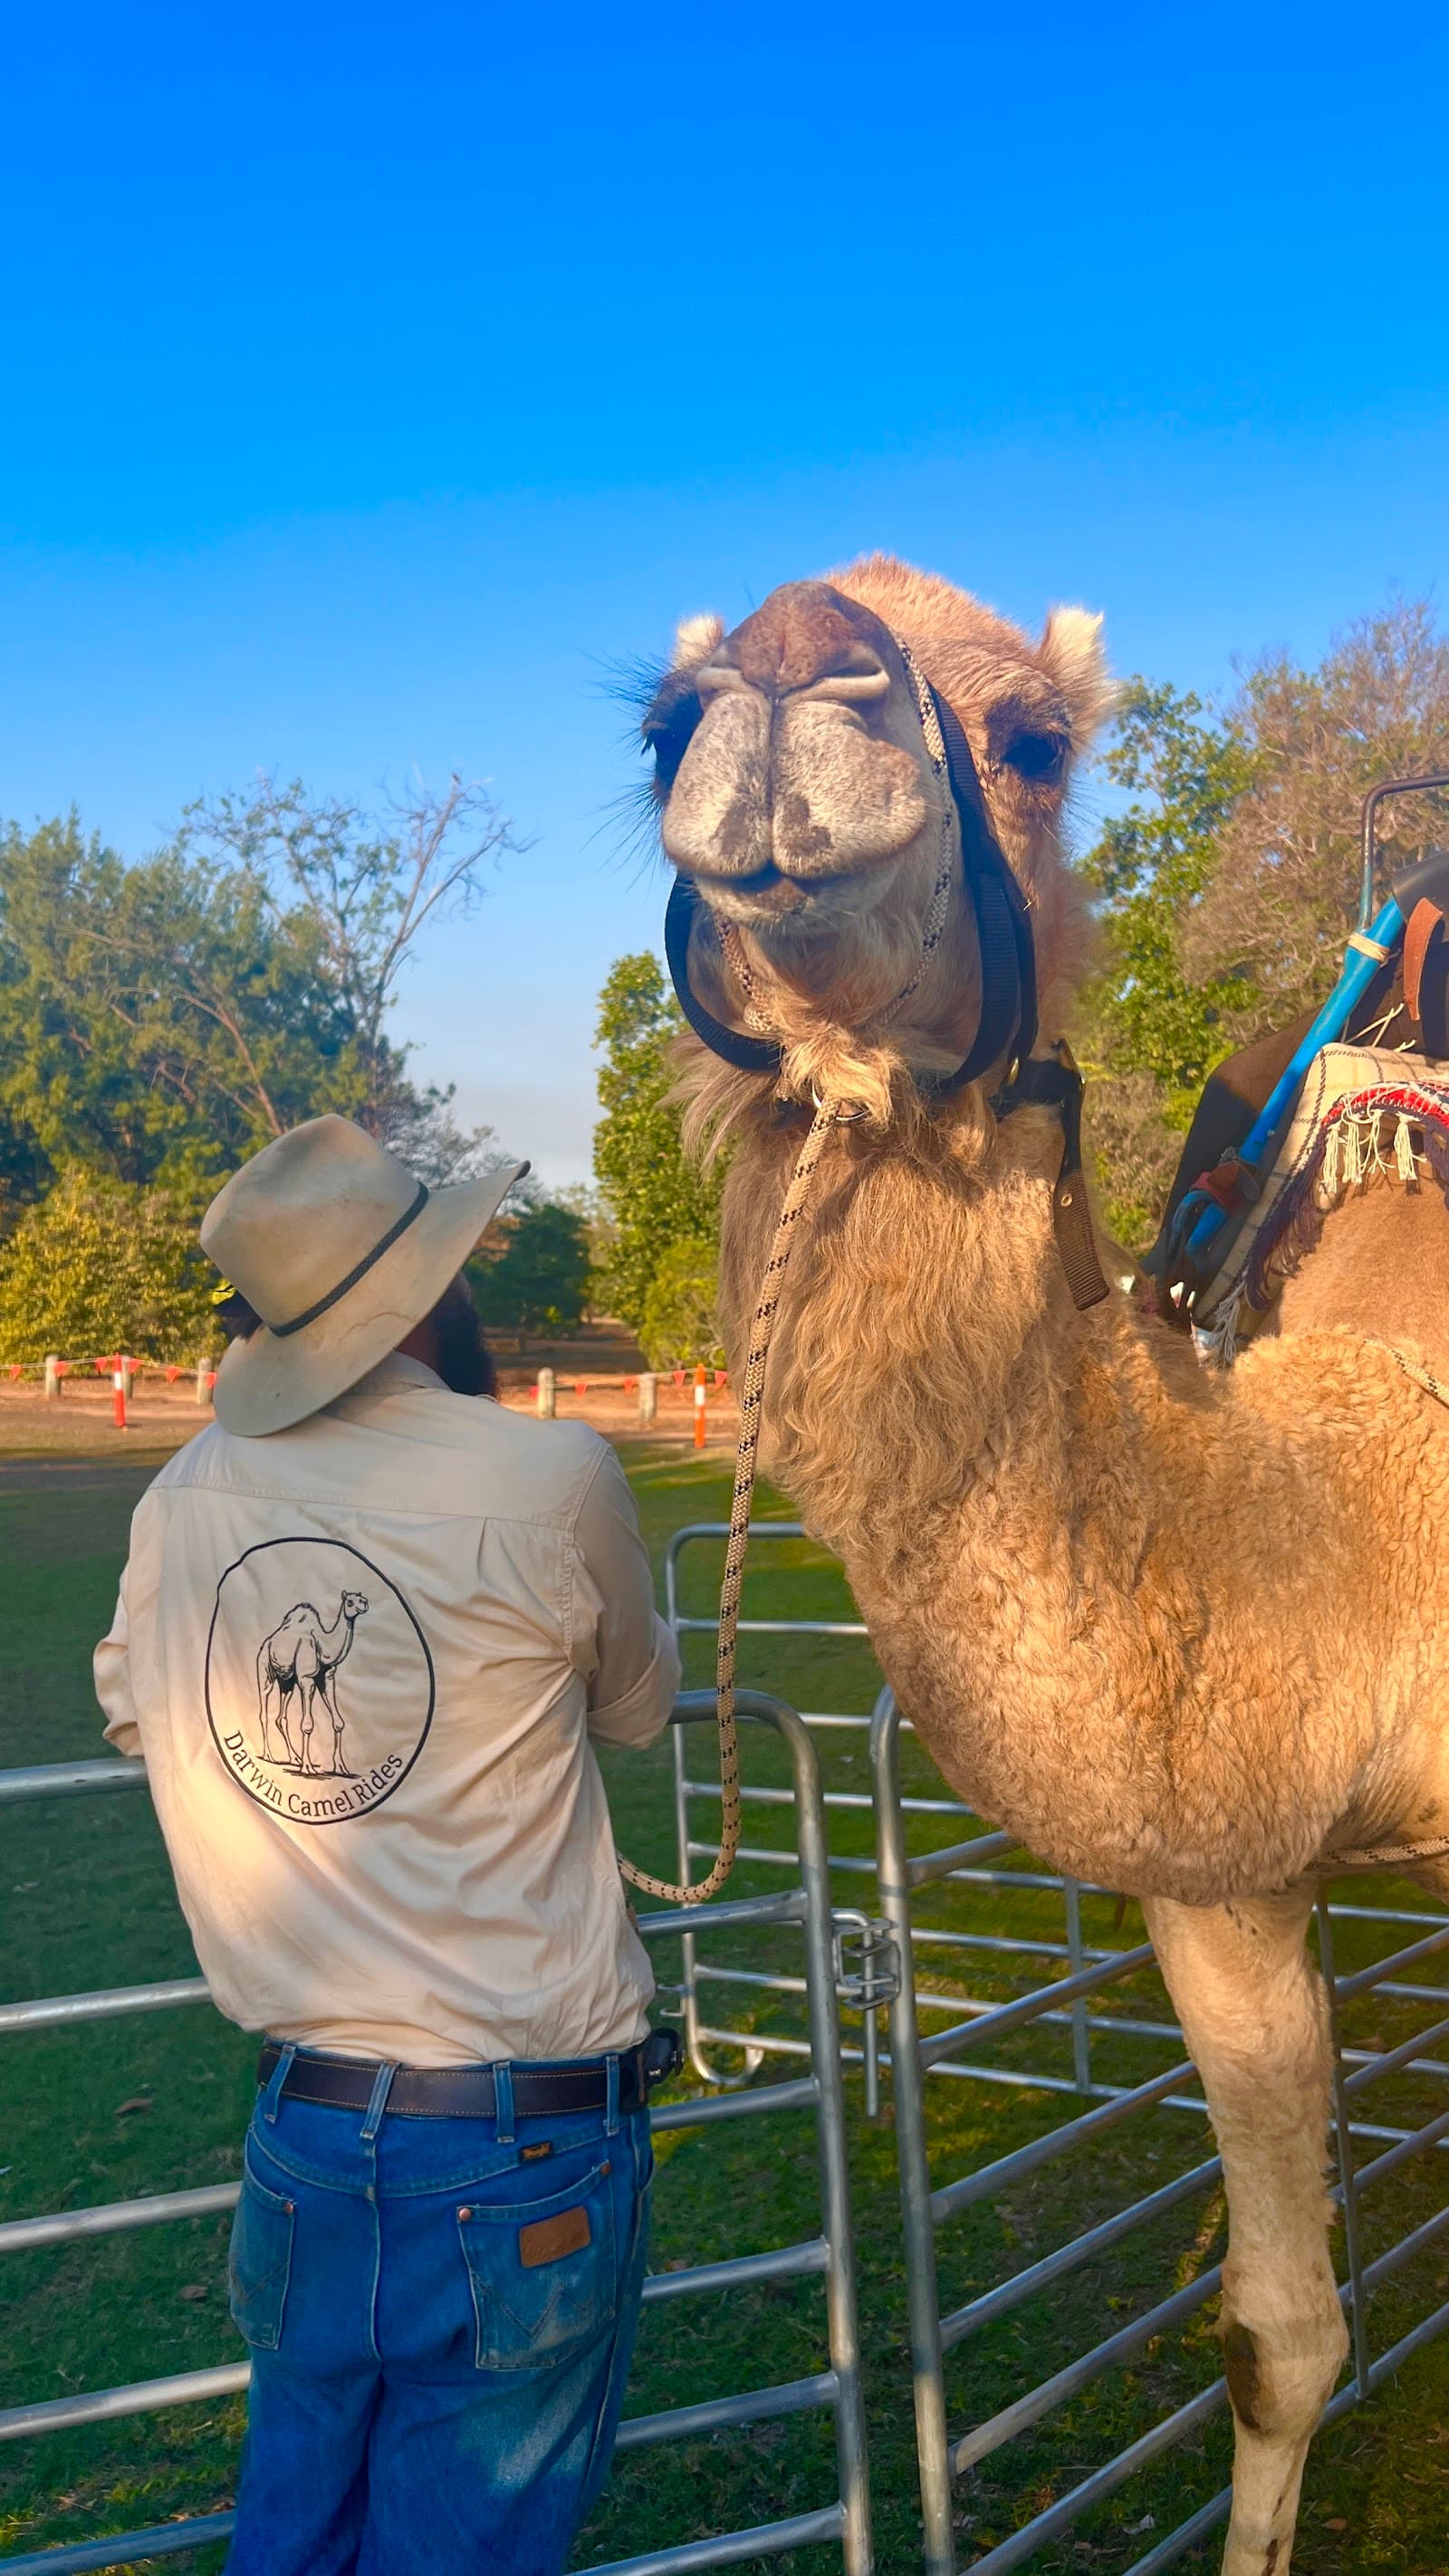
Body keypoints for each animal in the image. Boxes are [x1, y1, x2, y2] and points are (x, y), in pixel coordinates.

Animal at [256, 1590, 369, 1775]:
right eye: (350, 1601)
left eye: (361, 1598)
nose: (365, 1603)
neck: (324, 1646)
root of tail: (267, 1642)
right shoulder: (306, 1677)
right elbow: (307, 1724)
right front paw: (308, 1767)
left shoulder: (327, 1677)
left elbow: (339, 1722)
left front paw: (341, 1767)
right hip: (265, 1667)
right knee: (264, 1710)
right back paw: (269, 1756)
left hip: (287, 1683)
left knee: (281, 1718)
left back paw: (295, 1758)